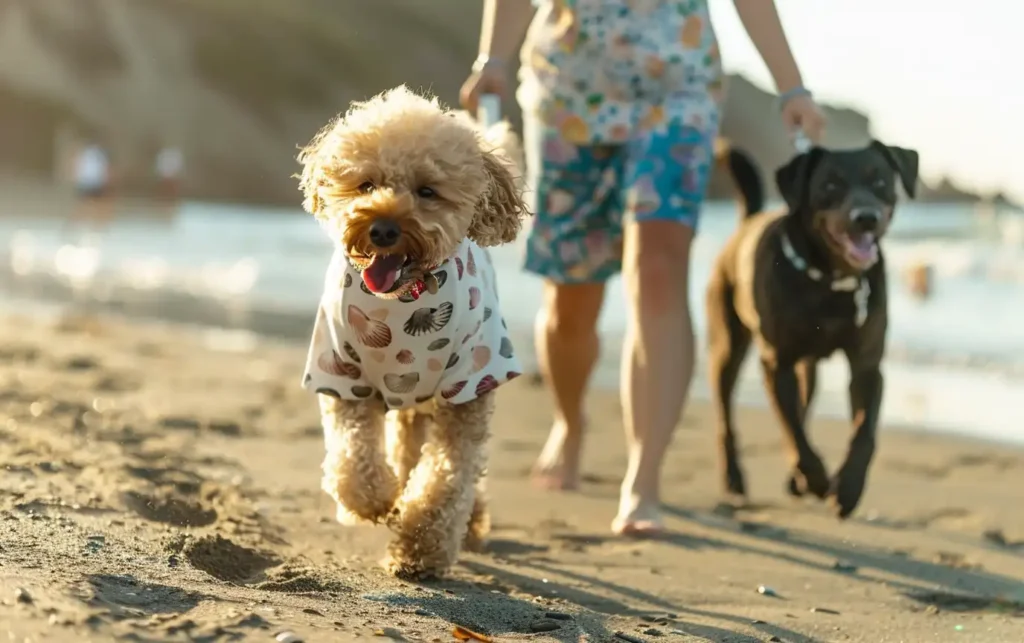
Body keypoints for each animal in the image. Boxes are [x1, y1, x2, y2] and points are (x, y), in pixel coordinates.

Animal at [708, 139, 917, 518]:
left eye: (879, 180)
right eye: (830, 185)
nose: (866, 217)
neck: (831, 280)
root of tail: (747, 223)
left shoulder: (867, 366)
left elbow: (864, 431)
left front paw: (848, 487)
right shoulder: (777, 362)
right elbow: (792, 429)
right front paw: (817, 477)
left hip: (808, 365)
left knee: (804, 401)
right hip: (727, 344)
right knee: (727, 415)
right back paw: (735, 477)